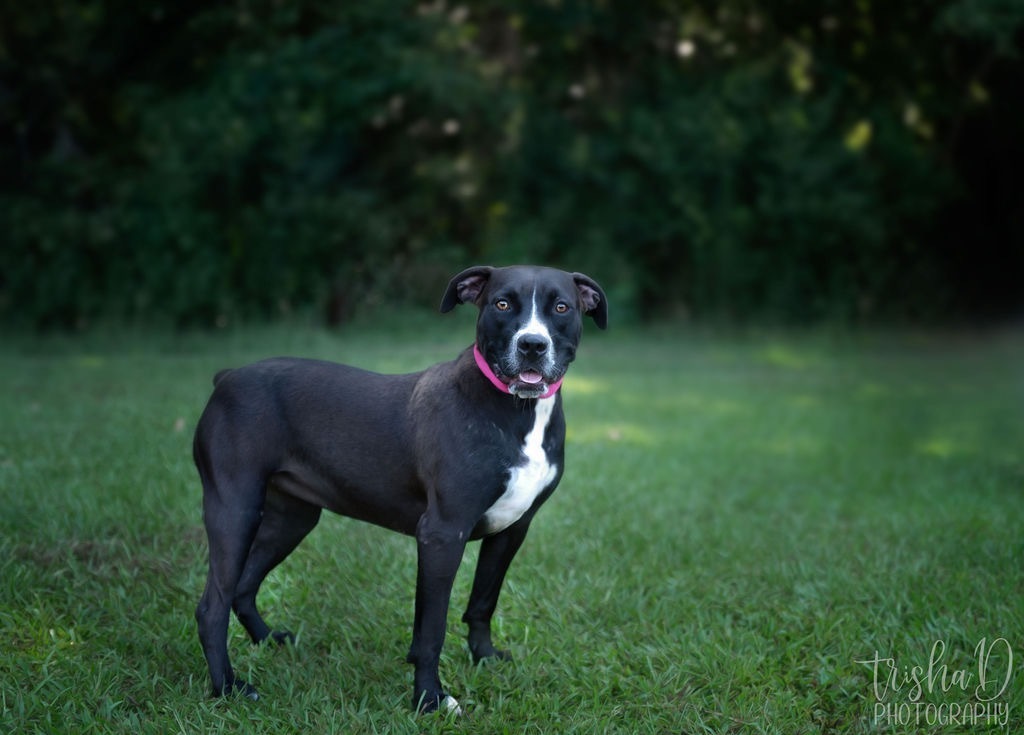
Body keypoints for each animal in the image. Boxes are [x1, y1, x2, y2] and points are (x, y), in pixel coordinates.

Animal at [193, 264, 598, 712]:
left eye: (561, 307)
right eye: (502, 303)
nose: (532, 344)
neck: (515, 410)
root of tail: (227, 377)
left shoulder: (512, 529)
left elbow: (482, 601)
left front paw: (484, 658)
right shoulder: (443, 534)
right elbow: (431, 629)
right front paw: (430, 698)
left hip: (293, 518)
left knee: (244, 586)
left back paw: (268, 641)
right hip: (235, 509)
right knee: (212, 606)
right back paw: (228, 687)